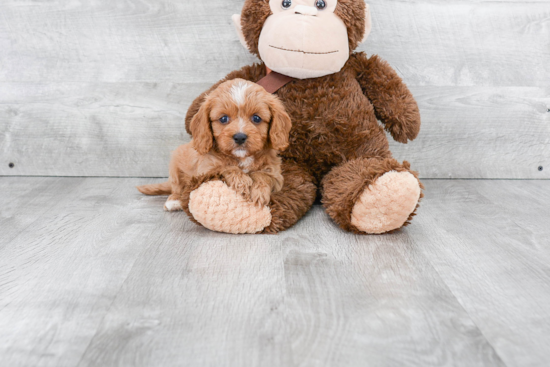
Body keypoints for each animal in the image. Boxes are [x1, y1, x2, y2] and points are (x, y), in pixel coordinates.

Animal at [138, 79, 294, 211]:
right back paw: (174, 200)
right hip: (175, 163)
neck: (242, 158)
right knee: (176, 187)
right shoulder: (206, 169)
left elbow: (263, 175)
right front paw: (241, 180)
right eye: (223, 119)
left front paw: (259, 192)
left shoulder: (275, 174)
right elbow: (225, 167)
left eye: (256, 118)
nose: (239, 137)